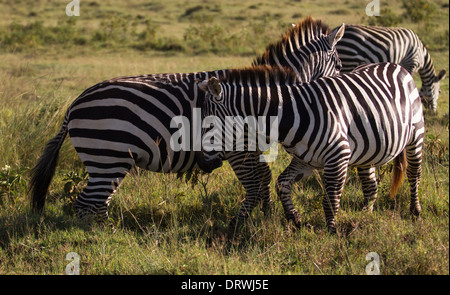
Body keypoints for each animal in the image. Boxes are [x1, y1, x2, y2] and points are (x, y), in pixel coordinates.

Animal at [29, 16, 344, 229]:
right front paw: (246, 224)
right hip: (108, 157)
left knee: (95, 202)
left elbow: (265, 180)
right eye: (340, 65)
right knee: (87, 203)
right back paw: (101, 237)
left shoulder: (252, 148)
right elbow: (254, 184)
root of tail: (74, 104)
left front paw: (267, 217)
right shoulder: (238, 149)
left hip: (106, 161)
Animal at [198, 62, 426, 234]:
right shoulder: (305, 159)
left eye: (209, 125)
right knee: (371, 186)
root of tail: (394, 65)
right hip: (367, 152)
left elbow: (330, 199)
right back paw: (365, 217)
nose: (202, 165)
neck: (290, 113)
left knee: (414, 174)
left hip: (416, 135)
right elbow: (282, 183)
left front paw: (332, 233)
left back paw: (415, 212)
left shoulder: (338, 156)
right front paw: (295, 218)